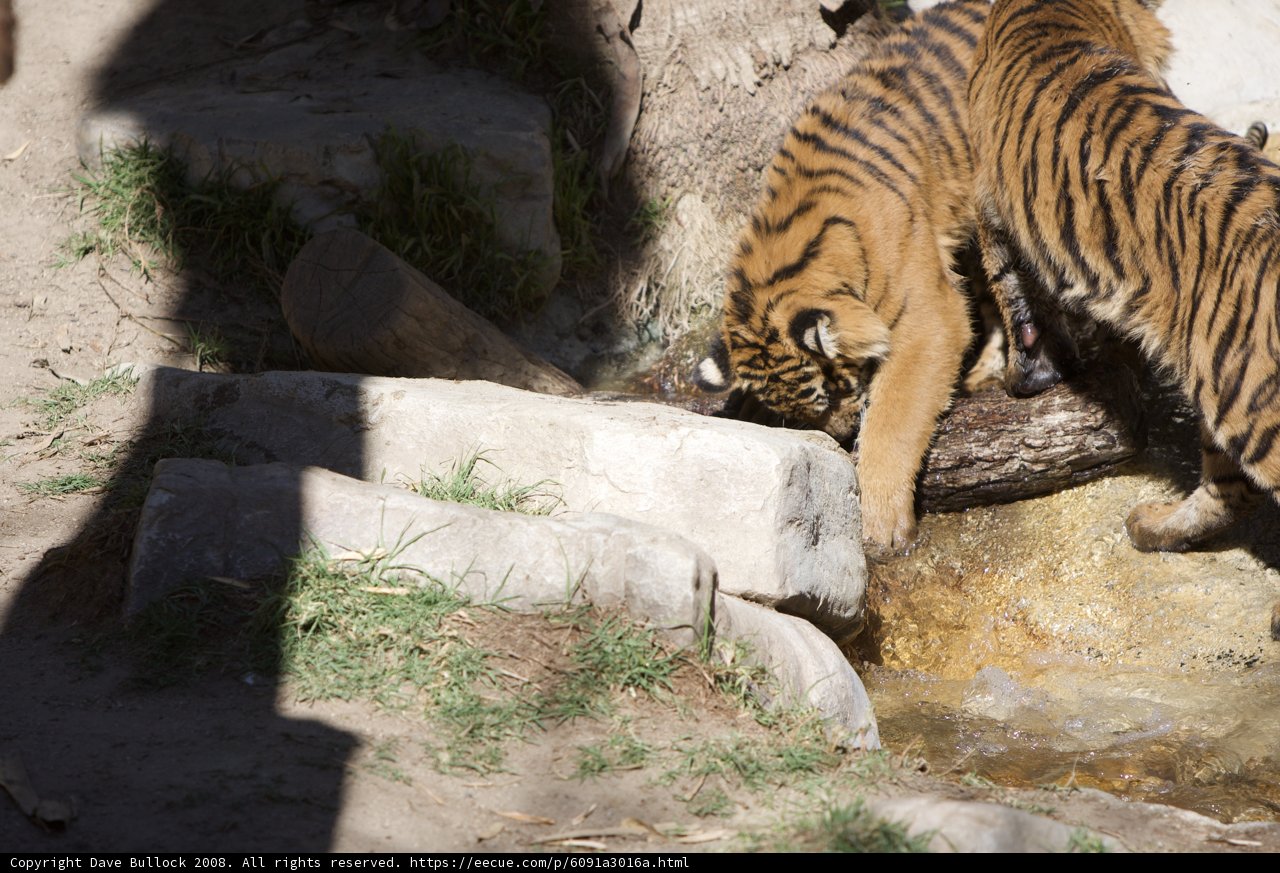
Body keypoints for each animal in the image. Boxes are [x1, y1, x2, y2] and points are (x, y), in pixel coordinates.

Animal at [696, 0, 1076, 559]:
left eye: (828, 393)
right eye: (804, 413)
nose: (840, 433)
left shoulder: (926, 317)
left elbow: (894, 417)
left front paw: (880, 526)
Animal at [969, 0, 1280, 556]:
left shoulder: (989, 201)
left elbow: (1011, 287)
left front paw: (1029, 372)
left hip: (1246, 402)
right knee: (1229, 491)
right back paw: (1152, 526)